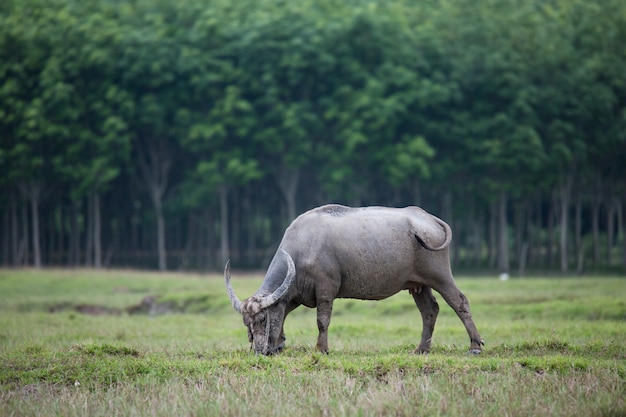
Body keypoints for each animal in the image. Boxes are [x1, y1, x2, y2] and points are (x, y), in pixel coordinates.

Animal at [224, 203, 482, 352]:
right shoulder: (295, 294)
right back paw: (421, 349)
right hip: (419, 284)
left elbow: (322, 321)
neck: (302, 250)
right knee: (430, 310)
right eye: (247, 323)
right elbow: (285, 313)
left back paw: (475, 345)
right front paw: (279, 344)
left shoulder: (326, 290)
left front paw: (321, 349)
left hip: (439, 275)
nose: (259, 350)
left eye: (262, 319)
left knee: (459, 301)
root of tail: (429, 219)